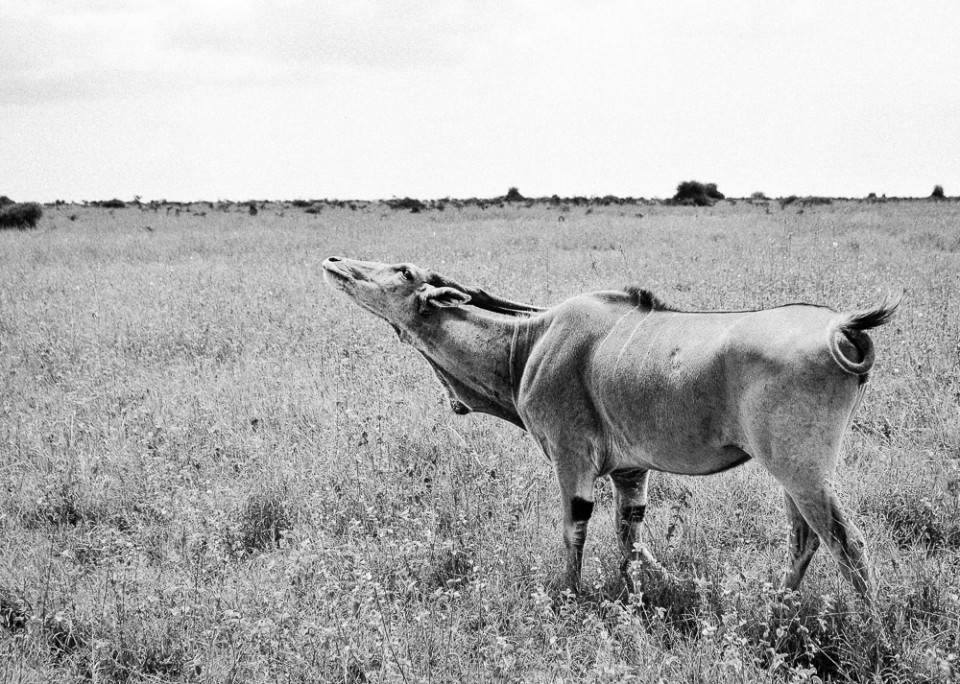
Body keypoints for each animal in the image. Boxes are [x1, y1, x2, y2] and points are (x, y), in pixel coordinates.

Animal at [324, 258, 900, 604]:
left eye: (402, 270)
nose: (333, 262)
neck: (528, 342)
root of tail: (842, 327)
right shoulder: (631, 473)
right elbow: (630, 538)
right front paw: (638, 597)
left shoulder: (570, 458)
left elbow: (573, 529)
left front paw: (571, 599)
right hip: (791, 478)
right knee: (805, 539)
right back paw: (779, 609)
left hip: (802, 472)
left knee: (847, 544)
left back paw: (873, 631)